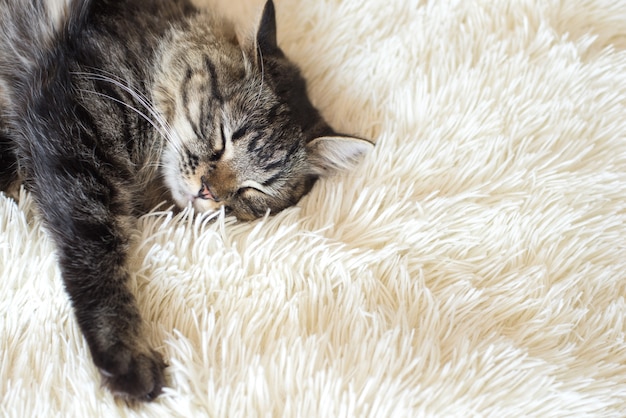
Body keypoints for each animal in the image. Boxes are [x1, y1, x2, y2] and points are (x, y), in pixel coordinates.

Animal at [0, 0, 370, 402]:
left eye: (253, 189)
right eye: (223, 137)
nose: (207, 191)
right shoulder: (75, 128)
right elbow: (95, 254)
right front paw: (126, 354)